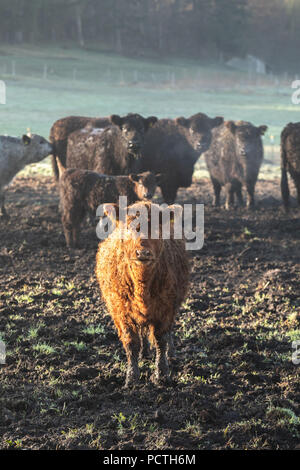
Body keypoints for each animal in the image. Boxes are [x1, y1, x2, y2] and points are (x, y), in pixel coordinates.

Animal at [95, 202, 191, 386]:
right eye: (129, 227)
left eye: (156, 227)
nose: (142, 253)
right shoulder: (121, 311)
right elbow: (131, 342)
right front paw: (132, 377)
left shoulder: (166, 308)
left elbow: (161, 339)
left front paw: (162, 374)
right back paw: (144, 353)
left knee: (168, 332)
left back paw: (171, 353)